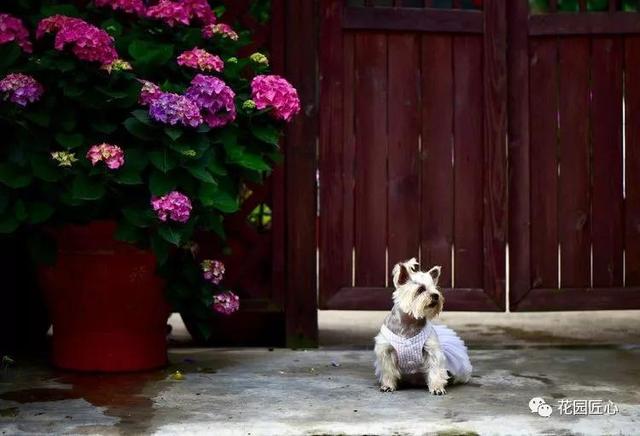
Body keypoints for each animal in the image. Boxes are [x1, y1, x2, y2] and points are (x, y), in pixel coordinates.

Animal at [372, 258, 472, 396]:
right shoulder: (386, 351)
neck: (410, 321)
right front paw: (387, 385)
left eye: (436, 289)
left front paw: (437, 388)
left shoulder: (432, 351)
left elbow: (435, 370)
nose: (436, 295)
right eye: (420, 289)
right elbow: (388, 371)